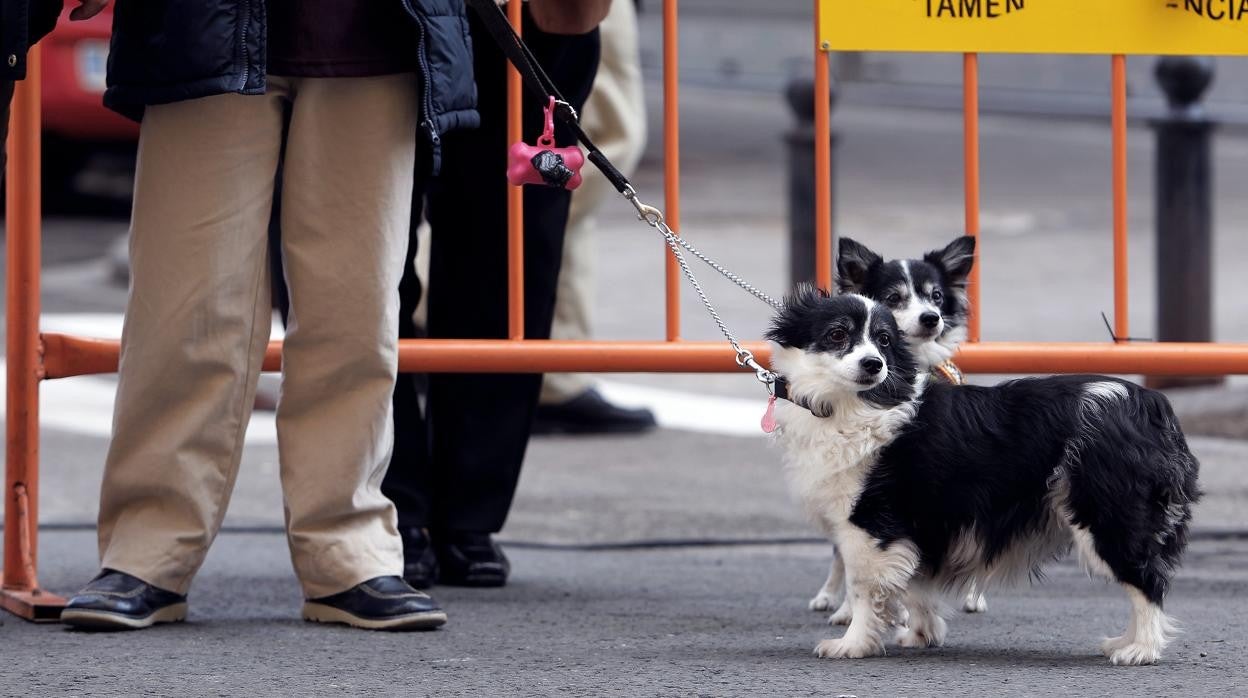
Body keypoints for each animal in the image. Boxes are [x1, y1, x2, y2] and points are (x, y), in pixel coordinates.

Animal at [768, 288, 1198, 664]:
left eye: (884, 341)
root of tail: (1149, 404)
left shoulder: (869, 526)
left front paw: (853, 644)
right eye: (837, 334)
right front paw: (922, 634)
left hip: (1107, 515)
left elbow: (863, 590)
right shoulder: (923, 523)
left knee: (1146, 580)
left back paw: (1140, 649)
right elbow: (916, 583)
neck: (858, 404)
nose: (874, 364)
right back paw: (1124, 641)